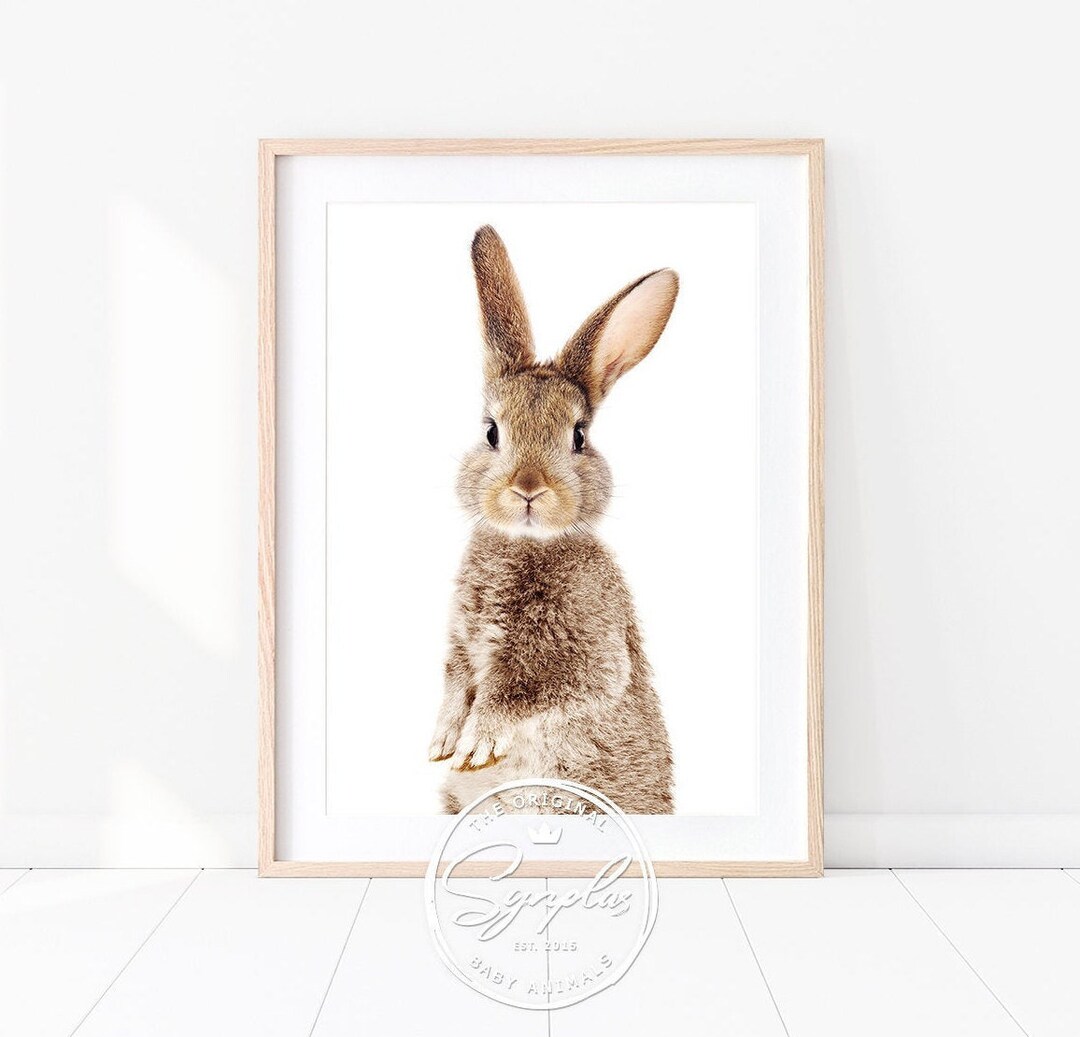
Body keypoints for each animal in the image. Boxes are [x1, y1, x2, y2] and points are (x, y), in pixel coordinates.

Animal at [429, 224, 677, 815]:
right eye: (491, 431)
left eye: (579, 437)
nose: (527, 488)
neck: (523, 544)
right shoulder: (460, 645)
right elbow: (455, 682)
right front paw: (443, 740)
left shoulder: (580, 653)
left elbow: (517, 692)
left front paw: (475, 744)